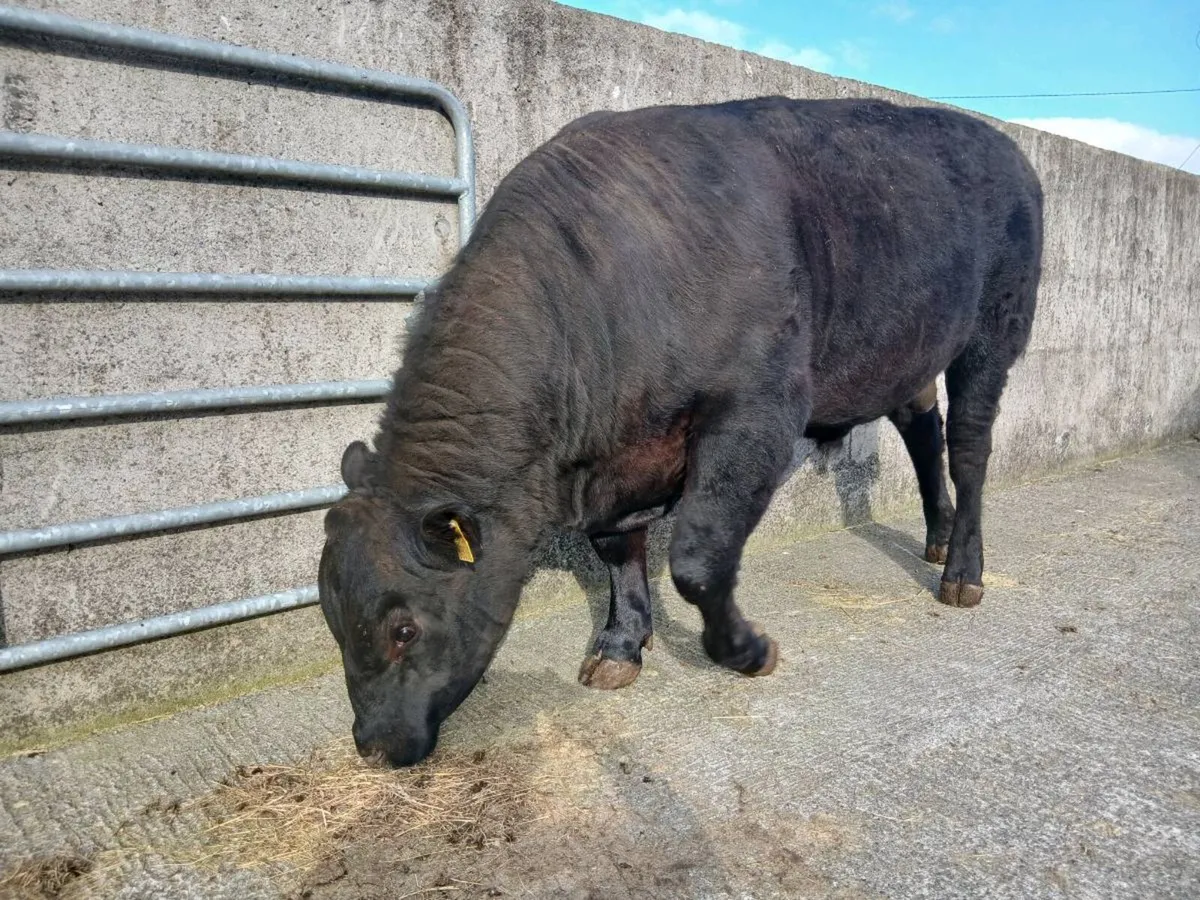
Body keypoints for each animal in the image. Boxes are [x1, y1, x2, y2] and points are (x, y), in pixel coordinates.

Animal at [318, 96, 1043, 767]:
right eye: (331, 619)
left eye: (405, 630)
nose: (373, 745)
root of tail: (1001, 144)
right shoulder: (614, 463)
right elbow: (618, 551)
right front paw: (620, 644)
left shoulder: (755, 412)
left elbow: (696, 558)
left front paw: (747, 651)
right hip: (909, 352)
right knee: (923, 426)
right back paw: (937, 537)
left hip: (994, 333)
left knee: (969, 446)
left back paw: (963, 572)